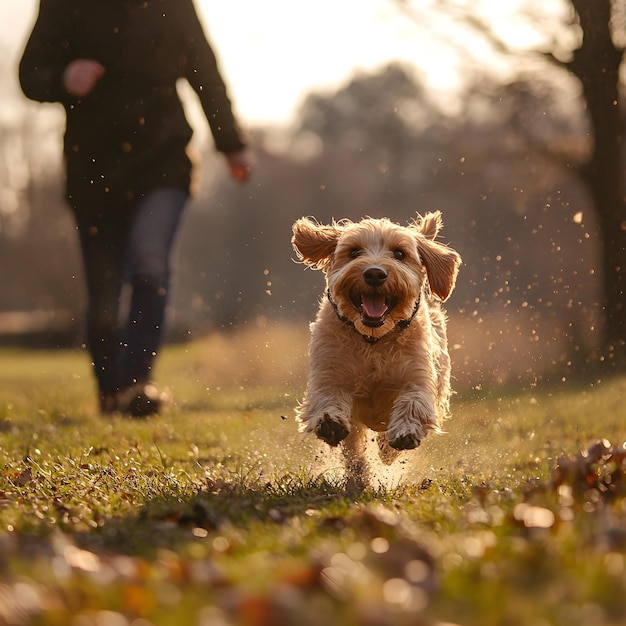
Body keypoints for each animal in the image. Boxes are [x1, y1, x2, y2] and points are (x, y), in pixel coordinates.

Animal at [290, 212, 460, 486]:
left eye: (400, 253)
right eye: (354, 252)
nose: (374, 274)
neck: (373, 341)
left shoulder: (418, 376)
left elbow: (413, 402)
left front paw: (404, 433)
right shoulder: (329, 372)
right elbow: (327, 397)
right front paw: (329, 422)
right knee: (354, 452)